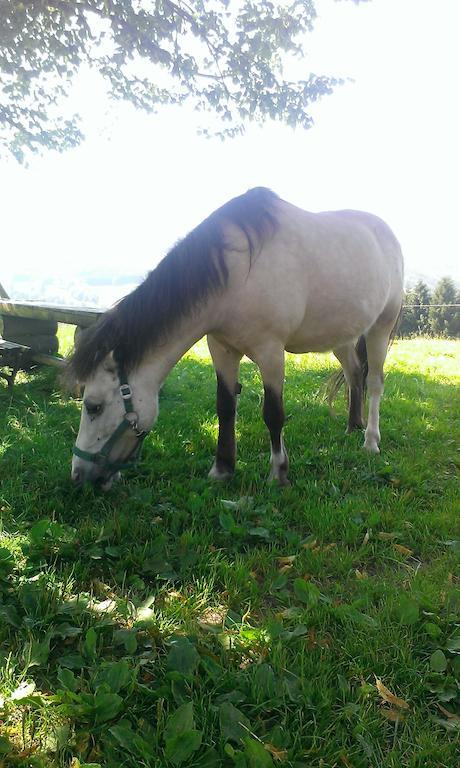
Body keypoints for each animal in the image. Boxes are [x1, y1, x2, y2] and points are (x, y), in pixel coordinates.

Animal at [68, 188, 402, 486]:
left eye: (93, 406)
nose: (78, 475)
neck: (237, 274)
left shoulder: (270, 353)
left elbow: (273, 413)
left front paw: (278, 473)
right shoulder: (221, 349)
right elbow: (225, 407)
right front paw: (223, 468)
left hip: (381, 327)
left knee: (374, 382)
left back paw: (370, 441)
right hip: (342, 337)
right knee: (354, 374)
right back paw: (352, 426)